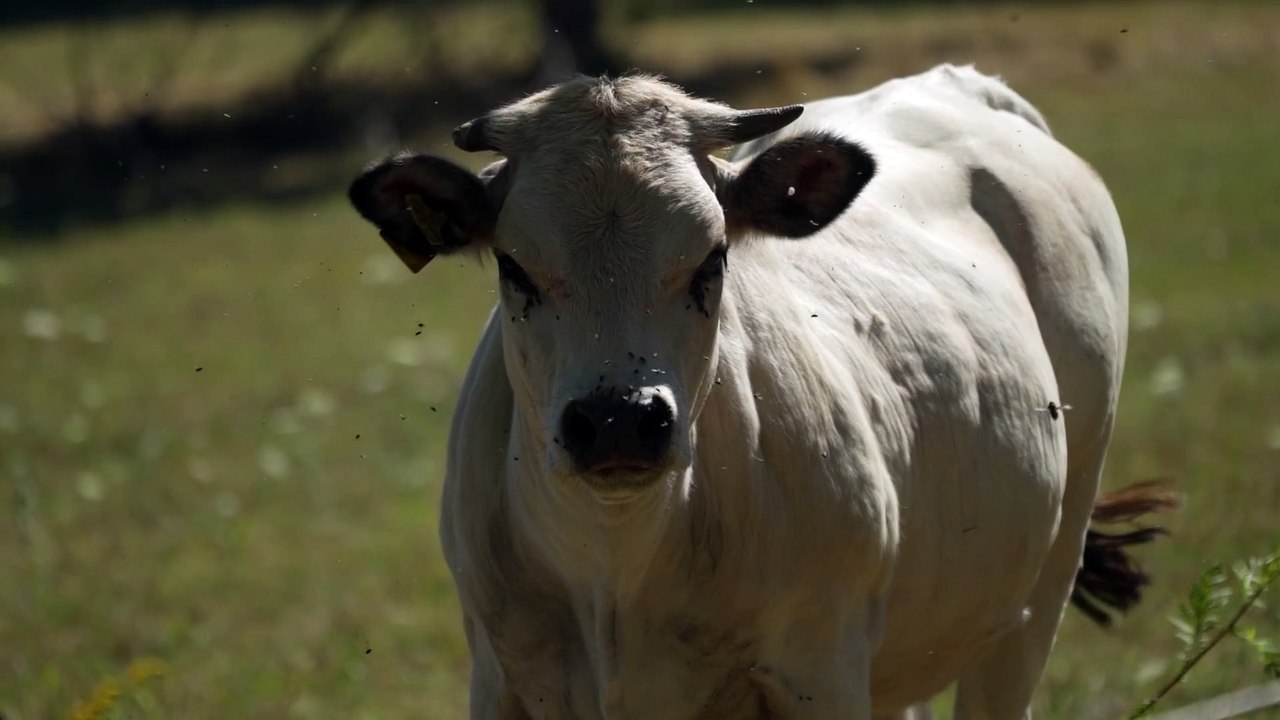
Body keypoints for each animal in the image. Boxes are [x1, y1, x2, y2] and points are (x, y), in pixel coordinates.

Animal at [348, 65, 1173, 719]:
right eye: (514, 267)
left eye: (712, 258)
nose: (619, 420)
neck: (617, 565)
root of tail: (963, 83)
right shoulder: (498, 679)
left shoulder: (822, 673)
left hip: (1039, 586)